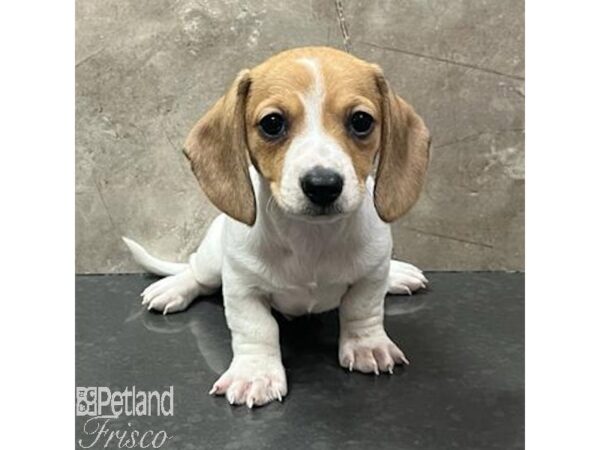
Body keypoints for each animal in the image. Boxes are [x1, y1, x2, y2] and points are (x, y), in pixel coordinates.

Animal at [123, 46, 432, 408]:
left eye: (361, 121)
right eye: (272, 123)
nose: (323, 185)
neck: (311, 238)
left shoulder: (369, 277)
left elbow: (362, 310)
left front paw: (367, 345)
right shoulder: (242, 288)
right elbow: (257, 329)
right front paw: (255, 373)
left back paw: (397, 275)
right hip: (213, 259)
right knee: (197, 273)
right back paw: (173, 288)